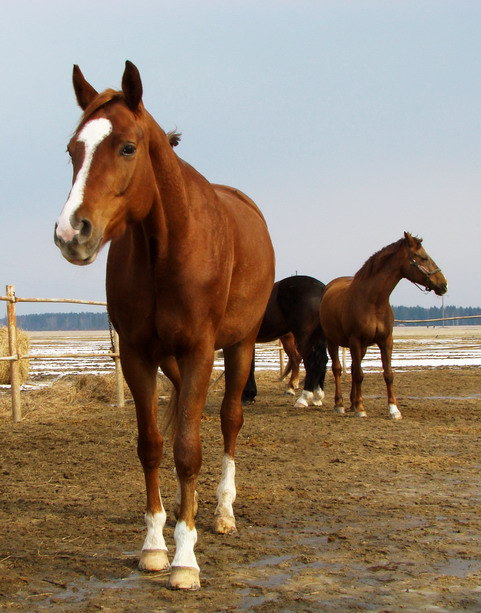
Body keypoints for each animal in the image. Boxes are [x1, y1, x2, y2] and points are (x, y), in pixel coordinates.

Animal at [53, 62, 274, 588]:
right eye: (73, 149)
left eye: (127, 147)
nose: (72, 232)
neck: (167, 248)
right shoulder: (138, 354)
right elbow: (153, 446)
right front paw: (155, 545)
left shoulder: (199, 351)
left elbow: (189, 450)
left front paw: (186, 559)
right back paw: (180, 509)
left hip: (241, 345)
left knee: (229, 420)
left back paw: (222, 513)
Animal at [240, 276, 326, 406]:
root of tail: (322, 289)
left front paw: (247, 396)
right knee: (320, 360)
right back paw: (316, 396)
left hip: (303, 339)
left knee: (312, 361)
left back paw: (303, 397)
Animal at [318, 232, 446, 418]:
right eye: (422, 257)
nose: (444, 285)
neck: (374, 302)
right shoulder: (355, 341)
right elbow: (359, 375)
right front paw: (361, 409)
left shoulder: (386, 341)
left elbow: (387, 374)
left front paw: (393, 409)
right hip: (333, 341)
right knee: (337, 369)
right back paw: (340, 404)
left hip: (362, 347)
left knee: (353, 367)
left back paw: (352, 403)